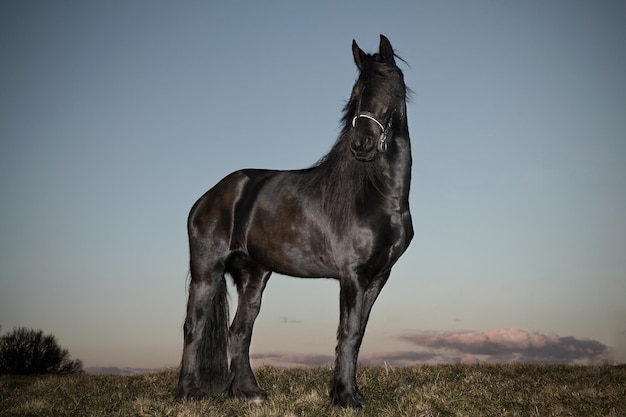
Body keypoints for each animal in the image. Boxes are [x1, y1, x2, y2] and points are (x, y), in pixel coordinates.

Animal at [176, 34, 412, 408]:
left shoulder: (378, 277)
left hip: (254, 275)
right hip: (207, 270)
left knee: (240, 330)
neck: (377, 195)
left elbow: (358, 334)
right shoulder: (353, 276)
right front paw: (344, 398)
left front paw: (350, 393)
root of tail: (210, 196)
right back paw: (188, 393)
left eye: (388, 87)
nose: (361, 144)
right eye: (357, 93)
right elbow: (347, 333)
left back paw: (249, 392)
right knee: (193, 326)